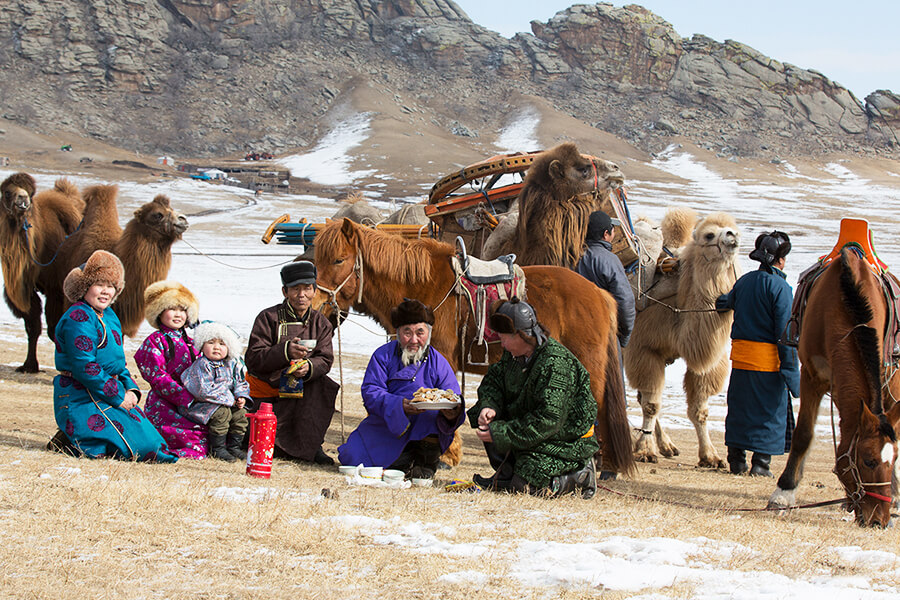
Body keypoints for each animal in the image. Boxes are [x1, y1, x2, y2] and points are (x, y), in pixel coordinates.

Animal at [0, 171, 83, 372]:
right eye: (7, 192)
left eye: (30, 193)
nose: (22, 199)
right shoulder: (27, 289)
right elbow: (33, 326)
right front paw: (29, 365)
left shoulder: (56, 288)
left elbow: (54, 327)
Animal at [312, 219, 636, 478]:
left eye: (339, 260)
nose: (316, 305)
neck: (421, 284)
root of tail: (599, 294)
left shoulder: (443, 355)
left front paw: (446, 455)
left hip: (588, 367)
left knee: (597, 409)